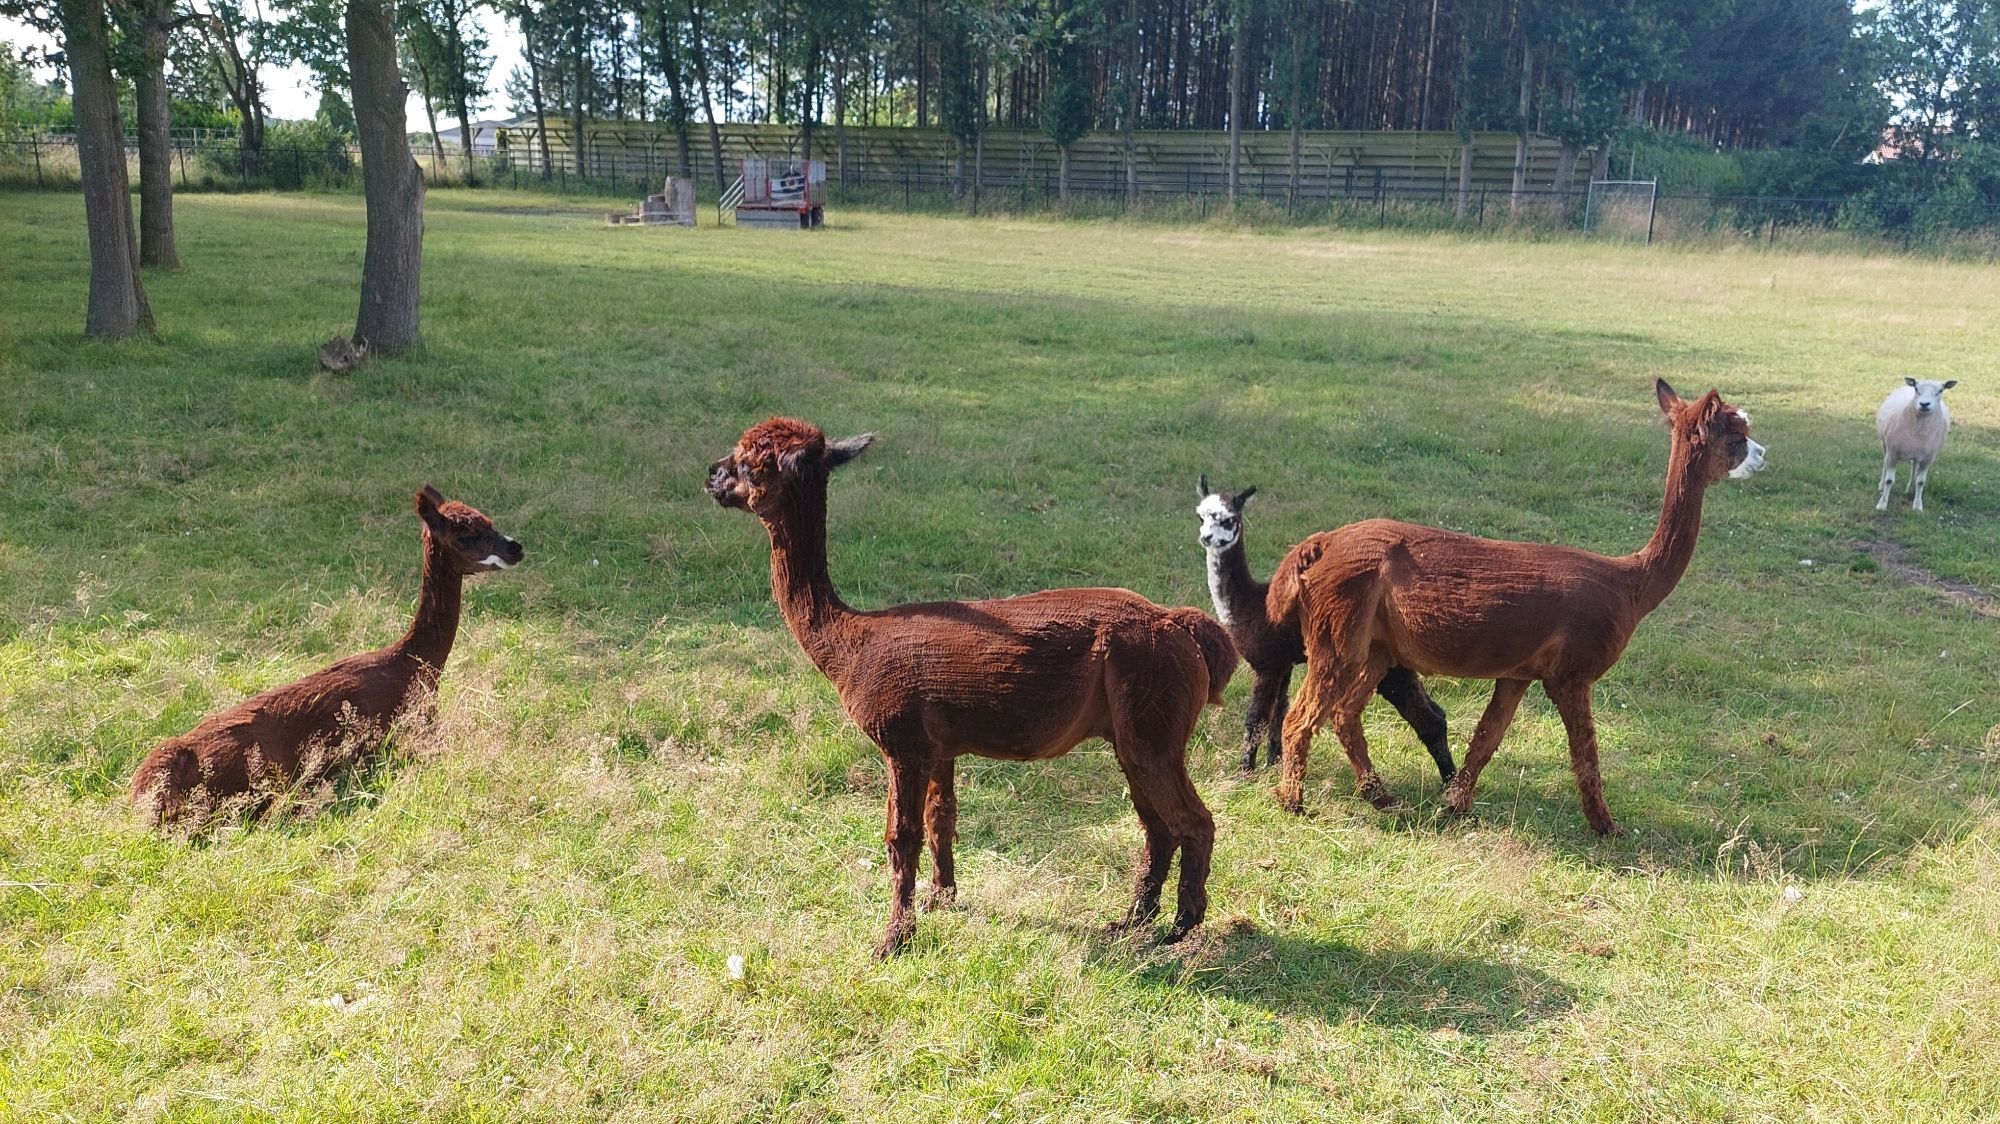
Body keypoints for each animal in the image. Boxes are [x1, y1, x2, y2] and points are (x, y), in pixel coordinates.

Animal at [1872, 378, 1952, 516]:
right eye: (1917, 389)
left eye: (1941, 390)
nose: (1924, 404)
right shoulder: (1892, 453)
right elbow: (1889, 480)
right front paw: (1882, 504)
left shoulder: (1928, 458)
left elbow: (1921, 482)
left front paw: (1917, 505)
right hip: (1885, 445)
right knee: (1884, 465)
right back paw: (1881, 486)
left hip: (1917, 453)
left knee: (1913, 467)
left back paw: (1909, 488)